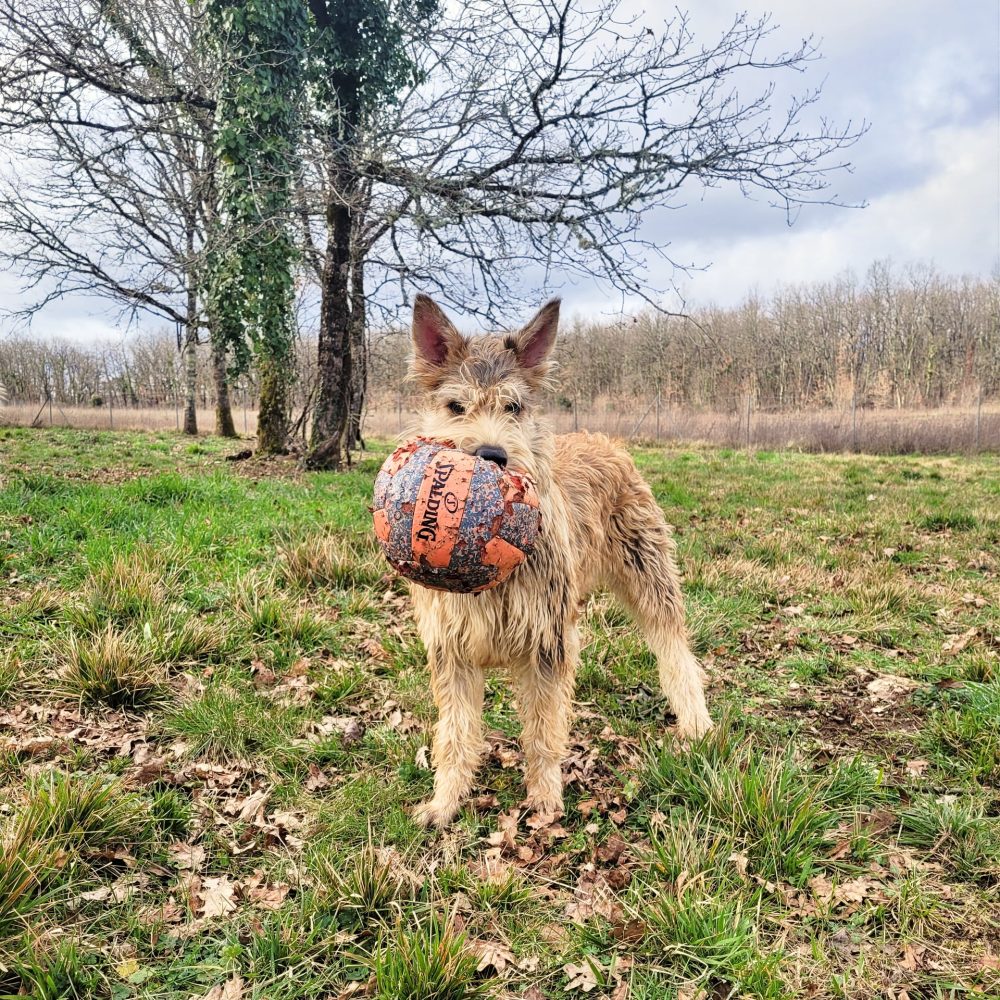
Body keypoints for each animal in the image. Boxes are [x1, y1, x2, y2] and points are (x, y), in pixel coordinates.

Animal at [406, 292, 712, 828]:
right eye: (455, 406)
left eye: (513, 406)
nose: (491, 454)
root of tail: (605, 440)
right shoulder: (452, 648)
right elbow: (456, 735)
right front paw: (445, 803)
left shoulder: (545, 640)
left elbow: (544, 730)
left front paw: (545, 799)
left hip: (649, 574)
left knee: (674, 649)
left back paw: (695, 722)